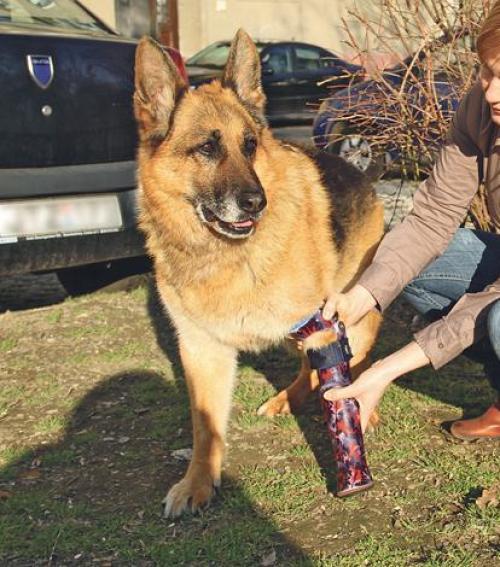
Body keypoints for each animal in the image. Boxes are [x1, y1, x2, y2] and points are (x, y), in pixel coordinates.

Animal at [133, 30, 382, 520]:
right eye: (206, 148)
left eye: (250, 145)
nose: (255, 202)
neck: (226, 256)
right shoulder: (202, 350)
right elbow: (204, 426)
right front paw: (198, 482)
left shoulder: (324, 325)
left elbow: (338, 387)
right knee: (306, 366)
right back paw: (289, 397)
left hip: (353, 318)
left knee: (357, 359)